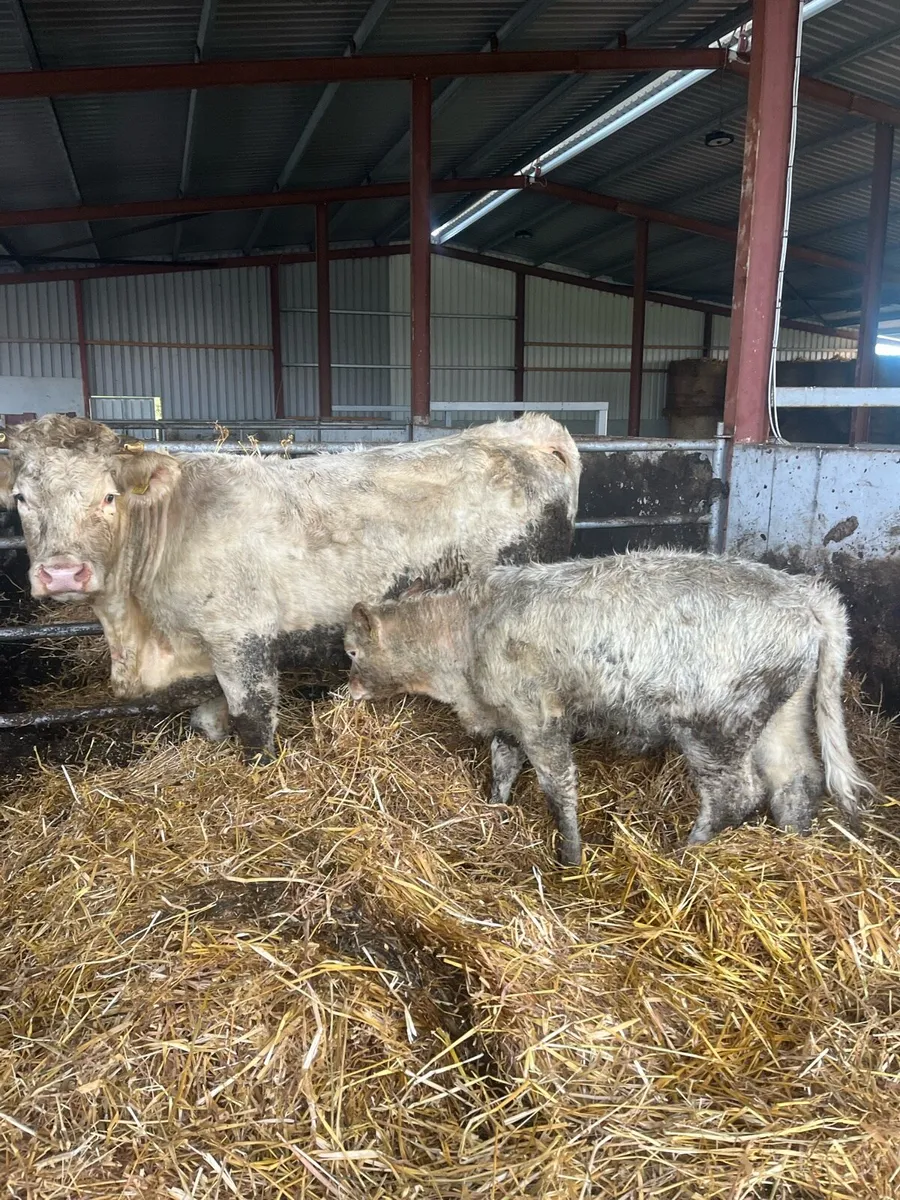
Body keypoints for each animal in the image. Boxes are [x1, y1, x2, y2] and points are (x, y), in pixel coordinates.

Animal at [0, 413, 581, 760]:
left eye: (109, 496)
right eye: (22, 499)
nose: (63, 572)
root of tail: (525, 429)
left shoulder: (241, 635)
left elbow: (252, 718)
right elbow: (209, 719)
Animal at [344, 550, 871, 865]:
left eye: (350, 652)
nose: (346, 691)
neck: (470, 627)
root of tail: (804, 594)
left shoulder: (540, 717)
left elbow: (558, 789)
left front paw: (571, 856)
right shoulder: (507, 719)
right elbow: (503, 767)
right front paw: (494, 809)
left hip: (715, 727)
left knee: (735, 794)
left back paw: (684, 856)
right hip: (780, 715)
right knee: (795, 778)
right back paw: (792, 842)